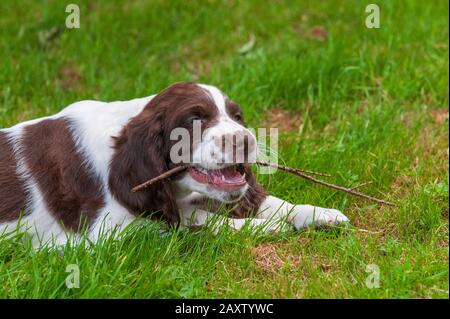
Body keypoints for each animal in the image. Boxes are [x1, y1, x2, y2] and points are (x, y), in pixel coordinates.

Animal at [0, 82, 348, 248]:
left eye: (237, 117)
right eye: (194, 120)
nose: (245, 140)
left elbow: (268, 202)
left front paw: (317, 214)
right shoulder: (106, 233)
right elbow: (195, 222)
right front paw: (262, 227)